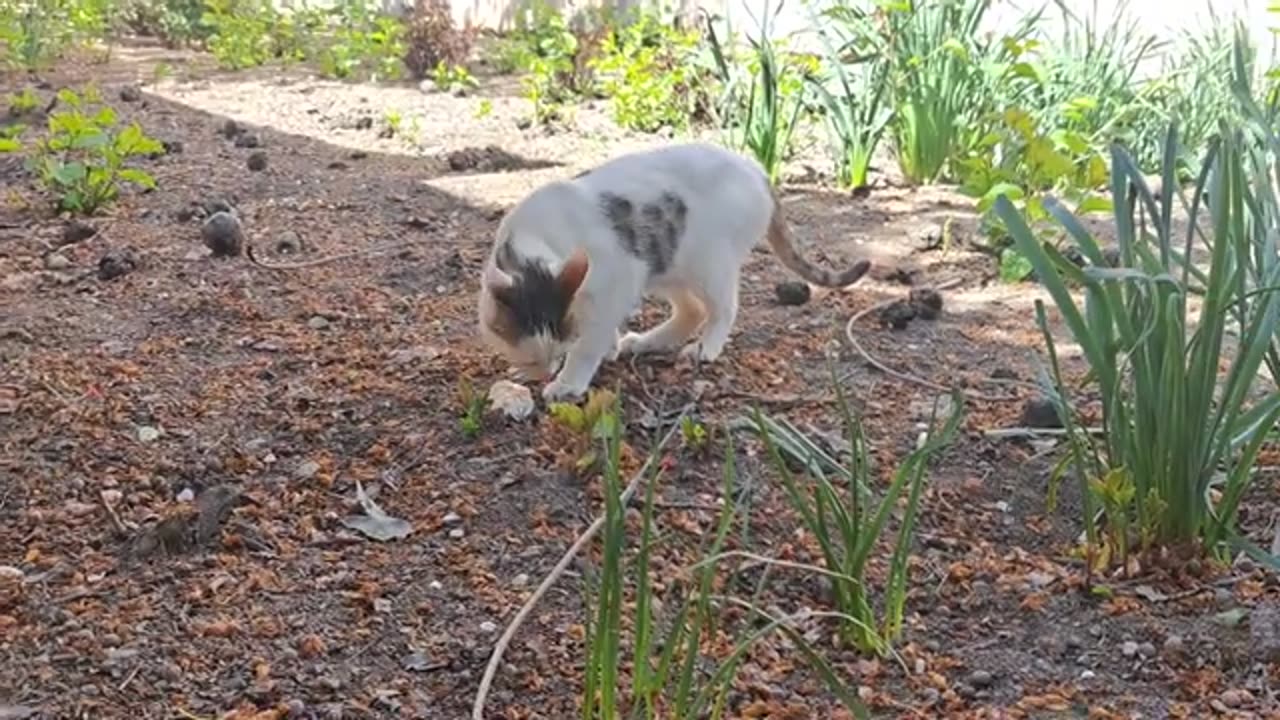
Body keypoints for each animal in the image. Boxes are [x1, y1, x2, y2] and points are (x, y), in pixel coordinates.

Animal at [478, 140, 870, 397]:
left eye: (556, 353)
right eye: (532, 359)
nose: (546, 373)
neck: (536, 235)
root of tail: (757, 170)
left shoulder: (620, 275)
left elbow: (591, 340)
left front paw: (569, 382)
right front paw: (612, 346)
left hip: (710, 262)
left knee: (723, 308)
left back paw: (705, 349)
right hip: (667, 263)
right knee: (690, 311)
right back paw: (644, 342)